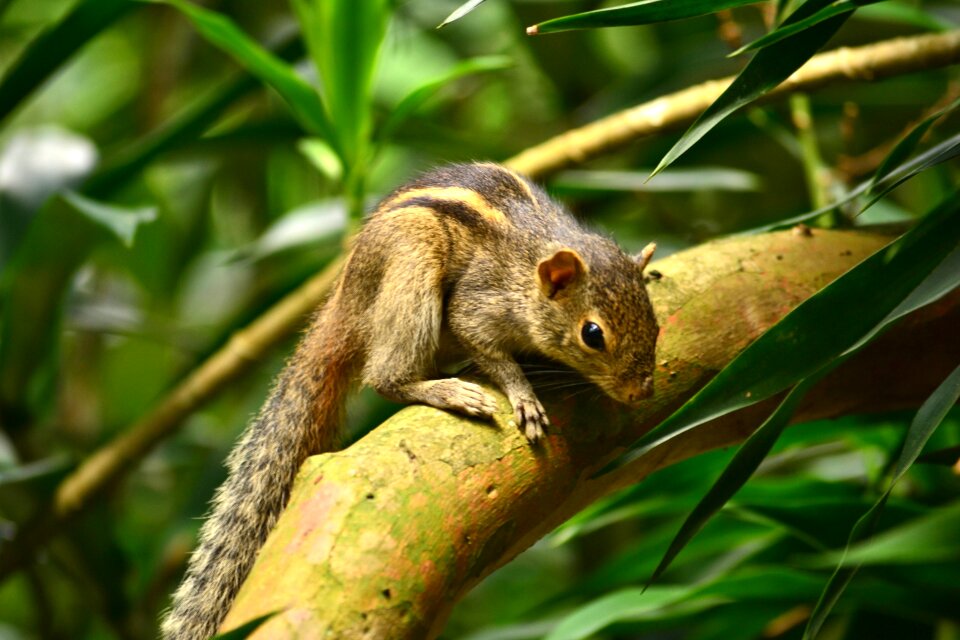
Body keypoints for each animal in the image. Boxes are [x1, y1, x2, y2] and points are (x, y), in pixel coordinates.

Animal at [163, 162, 660, 636]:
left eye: (655, 323)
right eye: (592, 334)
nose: (641, 392)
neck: (529, 267)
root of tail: (344, 306)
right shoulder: (480, 303)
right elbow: (488, 350)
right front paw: (523, 395)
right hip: (412, 267)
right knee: (385, 377)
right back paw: (447, 390)